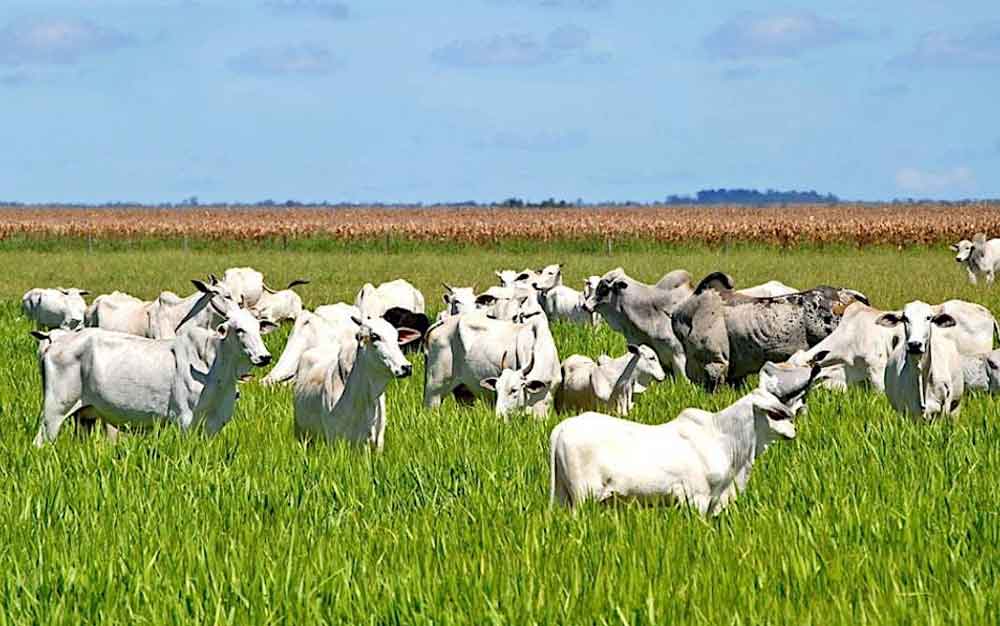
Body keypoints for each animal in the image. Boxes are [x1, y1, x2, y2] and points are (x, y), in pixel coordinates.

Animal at [33, 282, 276, 444]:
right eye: (239, 329)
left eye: (258, 328)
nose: (264, 357)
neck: (215, 367)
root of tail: (53, 341)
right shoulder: (184, 421)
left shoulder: (213, 425)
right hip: (54, 411)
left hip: (84, 417)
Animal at [548, 356, 820, 512]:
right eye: (775, 414)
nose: (793, 432)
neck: (723, 438)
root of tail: (563, 427)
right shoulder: (697, 499)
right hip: (583, 497)